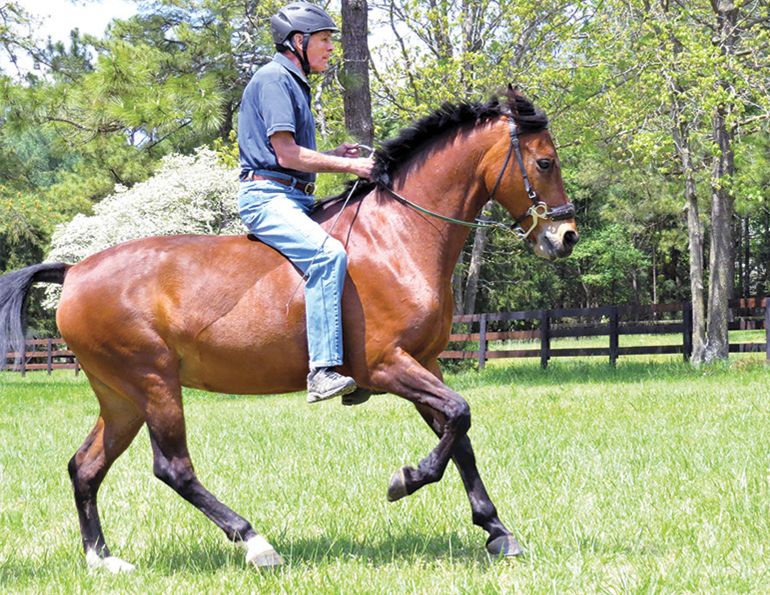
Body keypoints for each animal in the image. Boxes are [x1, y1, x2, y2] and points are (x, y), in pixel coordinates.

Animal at [0, 86, 578, 572]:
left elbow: (459, 438)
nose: (567, 236)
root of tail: (75, 271)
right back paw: (255, 543)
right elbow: (459, 416)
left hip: (121, 396)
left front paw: (497, 530)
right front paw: (405, 480)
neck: (398, 236)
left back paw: (102, 559)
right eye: (544, 161)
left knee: (85, 466)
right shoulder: (387, 365)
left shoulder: (426, 363)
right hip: (155, 382)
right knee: (173, 468)